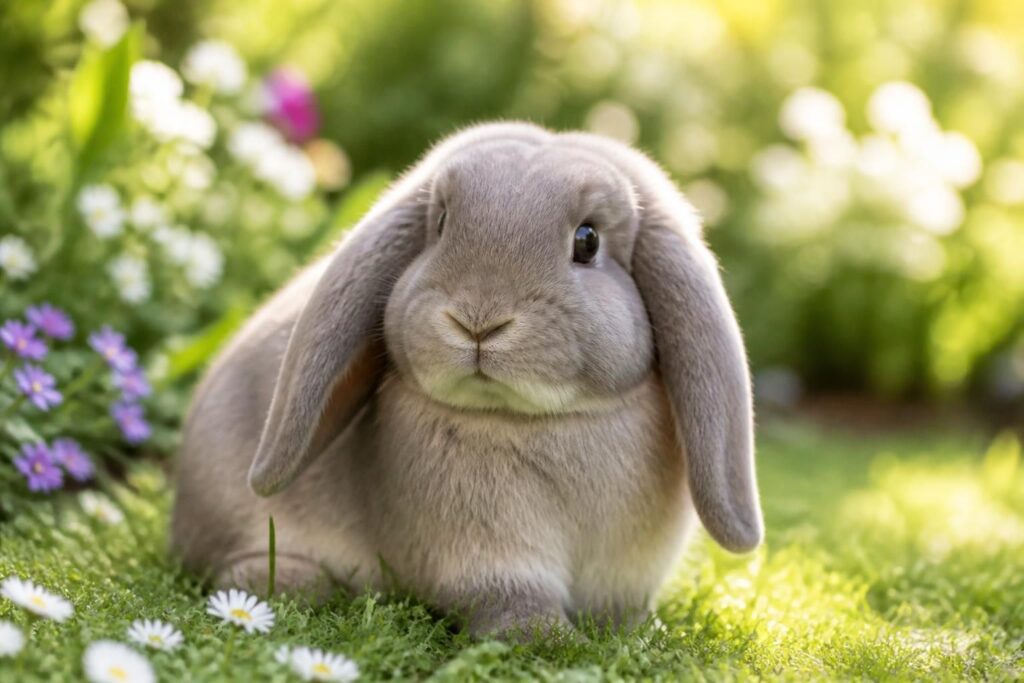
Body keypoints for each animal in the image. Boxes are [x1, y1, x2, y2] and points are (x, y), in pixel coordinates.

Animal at [170, 121, 763, 637]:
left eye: (588, 240)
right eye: (440, 226)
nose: (478, 320)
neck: (541, 419)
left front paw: (641, 634)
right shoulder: (484, 550)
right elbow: (504, 594)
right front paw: (542, 637)